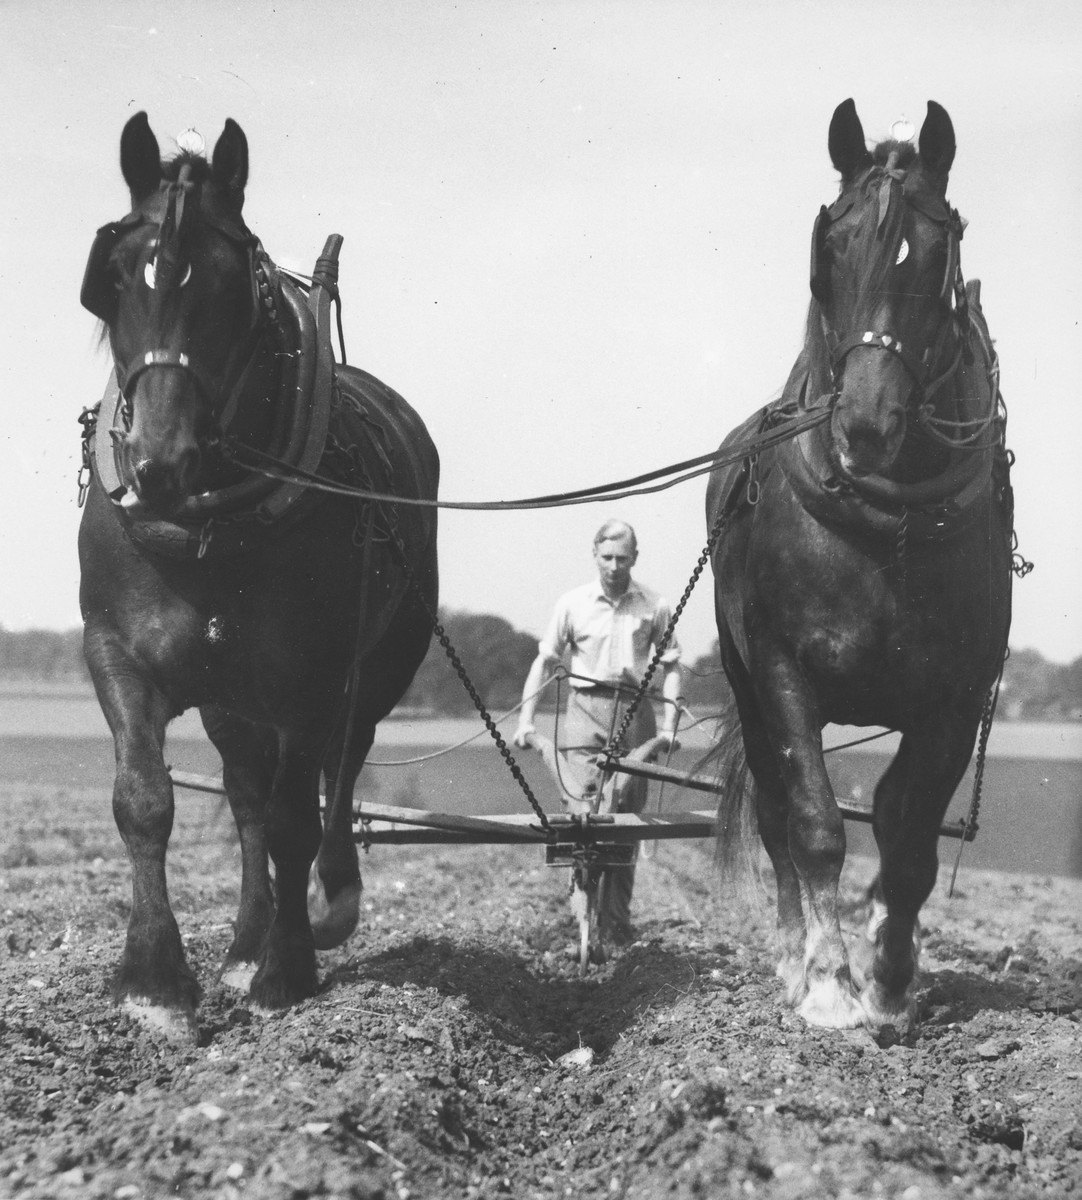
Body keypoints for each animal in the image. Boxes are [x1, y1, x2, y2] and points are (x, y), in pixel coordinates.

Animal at [77, 117, 441, 1046]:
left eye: (227, 286)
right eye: (115, 279)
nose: (157, 464)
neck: (207, 522)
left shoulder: (312, 673)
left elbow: (292, 819)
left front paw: (288, 972)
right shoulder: (115, 650)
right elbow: (145, 800)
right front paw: (154, 981)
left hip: (373, 669)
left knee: (339, 773)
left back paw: (329, 906)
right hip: (230, 693)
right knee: (245, 793)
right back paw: (244, 942)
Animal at [710, 96, 1017, 1032]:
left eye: (937, 248)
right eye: (834, 243)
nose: (867, 426)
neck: (889, 523)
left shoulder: (956, 692)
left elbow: (909, 836)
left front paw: (889, 979)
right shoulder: (782, 670)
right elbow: (813, 823)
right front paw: (828, 986)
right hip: (743, 679)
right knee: (777, 815)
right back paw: (792, 959)